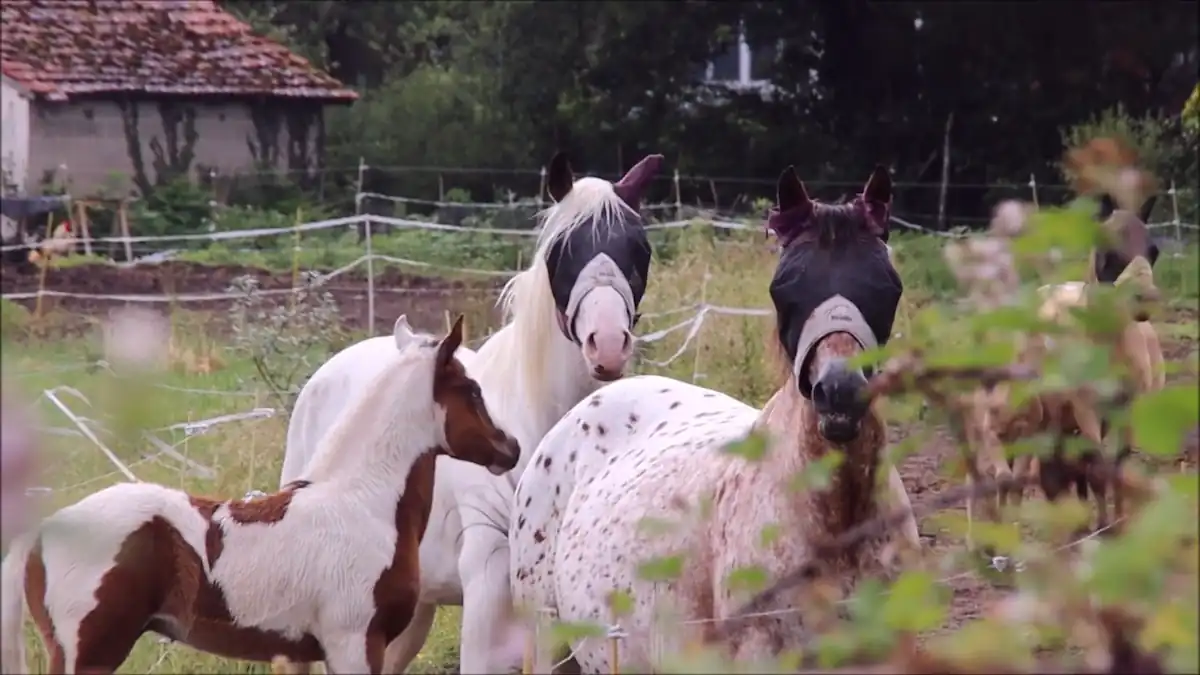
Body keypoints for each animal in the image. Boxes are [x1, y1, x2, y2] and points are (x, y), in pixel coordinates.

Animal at [0, 316, 520, 674]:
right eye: (473, 389)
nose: (511, 448)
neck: (360, 501)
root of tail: (50, 525)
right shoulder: (354, 643)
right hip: (88, 653)